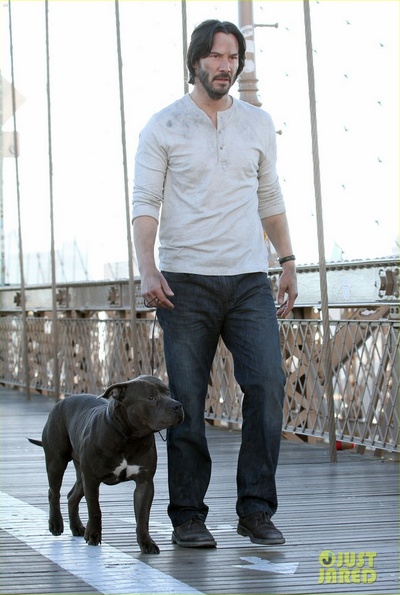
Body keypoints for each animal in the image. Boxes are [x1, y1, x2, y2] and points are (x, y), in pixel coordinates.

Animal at [28, 375, 183, 554]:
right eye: (151, 397)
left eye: (168, 392)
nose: (177, 405)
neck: (128, 438)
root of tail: (62, 402)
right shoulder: (92, 479)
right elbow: (95, 509)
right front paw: (93, 535)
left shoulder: (144, 483)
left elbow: (143, 516)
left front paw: (146, 542)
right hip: (57, 461)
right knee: (54, 492)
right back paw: (55, 524)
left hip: (81, 473)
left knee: (72, 496)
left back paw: (76, 527)